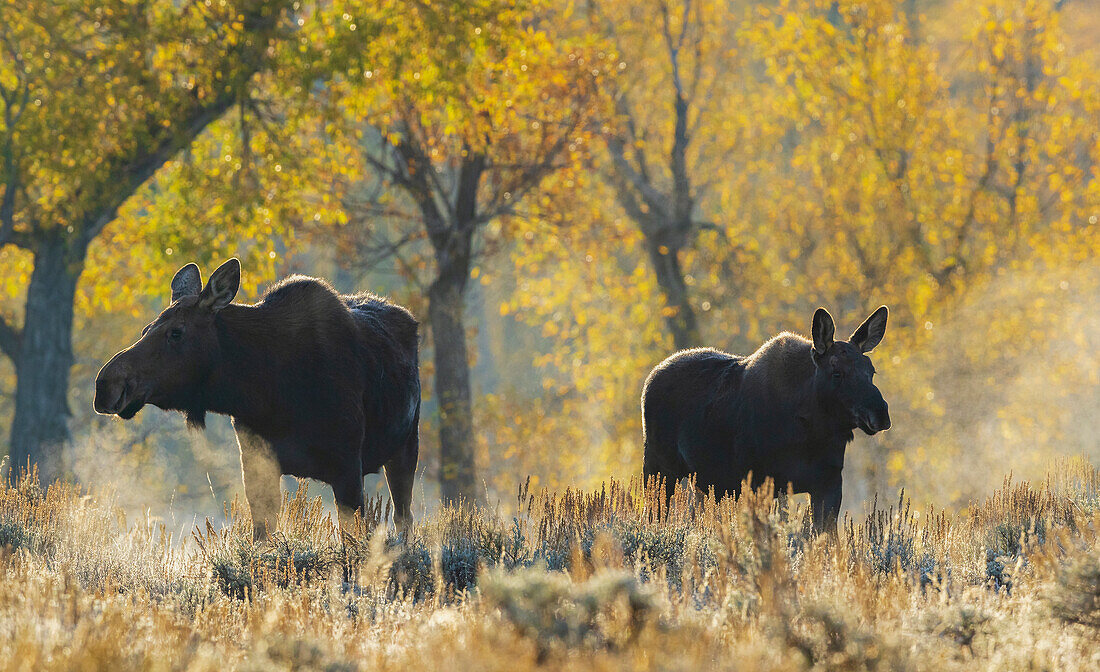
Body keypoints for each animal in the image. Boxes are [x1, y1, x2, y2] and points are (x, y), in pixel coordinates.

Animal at [93, 260, 420, 538]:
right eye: (145, 329)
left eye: (176, 332)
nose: (106, 384)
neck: (265, 390)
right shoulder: (256, 462)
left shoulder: (349, 465)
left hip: (406, 446)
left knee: (404, 519)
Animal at [642, 307, 888, 534]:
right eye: (836, 373)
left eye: (872, 371)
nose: (880, 414)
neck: (811, 432)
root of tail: (652, 376)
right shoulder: (759, 483)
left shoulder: (829, 482)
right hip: (659, 468)